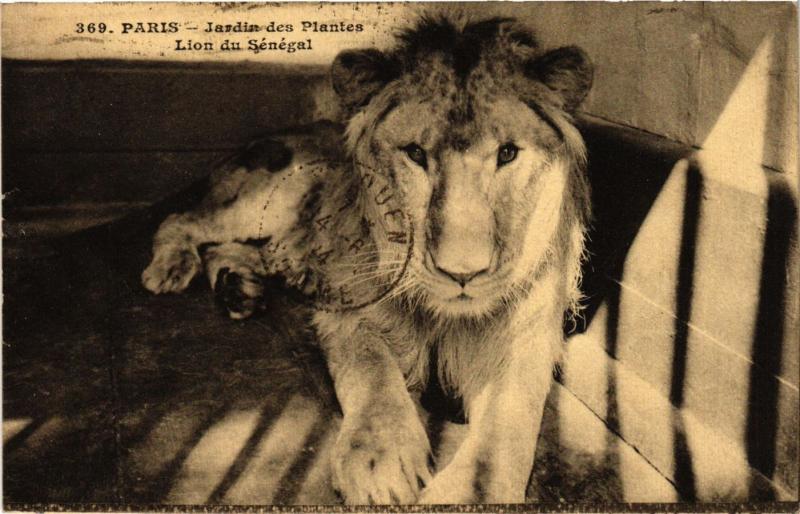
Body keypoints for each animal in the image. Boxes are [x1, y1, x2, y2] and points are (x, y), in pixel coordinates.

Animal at [142, 16, 592, 504]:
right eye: (415, 154)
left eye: (507, 153)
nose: (462, 274)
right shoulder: (348, 310)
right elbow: (373, 370)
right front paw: (381, 460)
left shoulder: (525, 339)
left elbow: (505, 425)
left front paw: (468, 493)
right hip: (264, 197)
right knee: (182, 220)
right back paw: (170, 269)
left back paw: (239, 289)